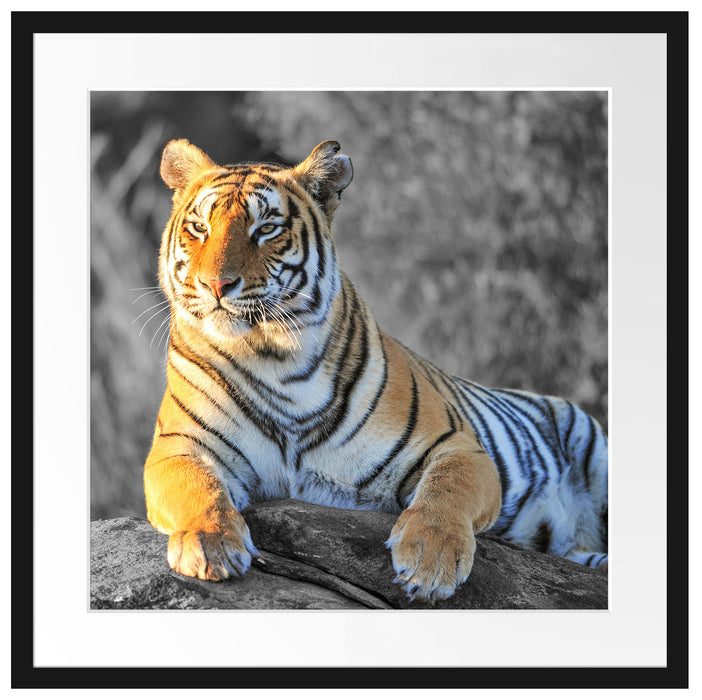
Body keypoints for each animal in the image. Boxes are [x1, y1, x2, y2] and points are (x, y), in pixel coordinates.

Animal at [143, 138, 609, 603]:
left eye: (267, 229)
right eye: (199, 228)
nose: (215, 285)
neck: (273, 357)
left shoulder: (457, 445)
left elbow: (446, 490)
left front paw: (430, 561)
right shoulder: (178, 446)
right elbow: (197, 488)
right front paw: (210, 544)